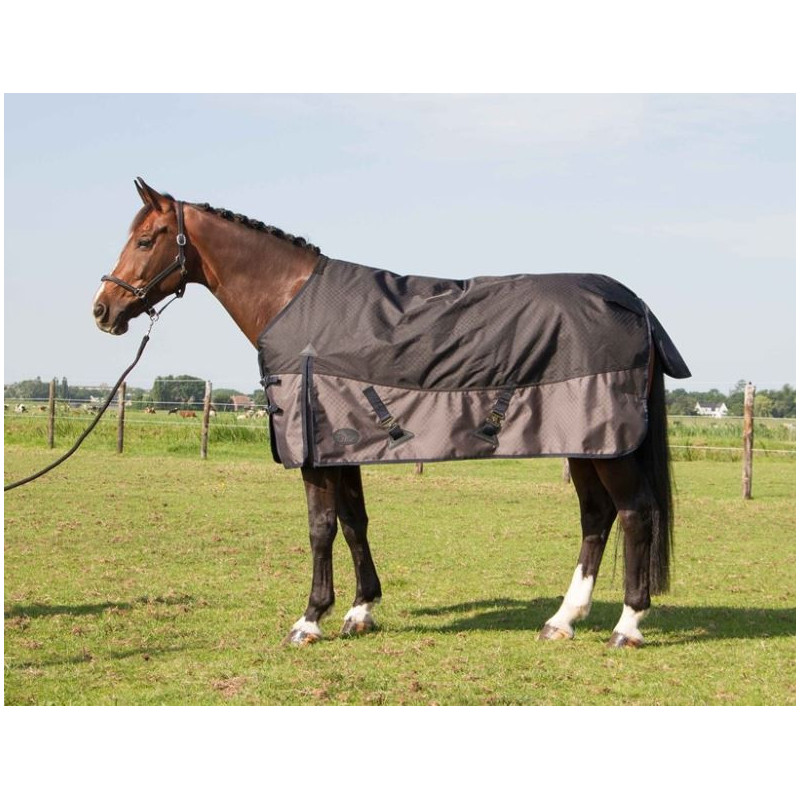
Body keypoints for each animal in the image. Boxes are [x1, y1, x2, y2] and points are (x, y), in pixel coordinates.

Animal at [93, 178, 690, 648]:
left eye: (145, 240)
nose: (103, 310)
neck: (292, 302)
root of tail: (634, 304)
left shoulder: (315, 451)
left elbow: (321, 527)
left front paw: (310, 620)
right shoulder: (341, 445)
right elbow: (354, 523)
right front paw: (360, 611)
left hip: (609, 445)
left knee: (635, 514)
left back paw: (627, 626)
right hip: (585, 442)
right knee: (597, 516)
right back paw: (562, 620)